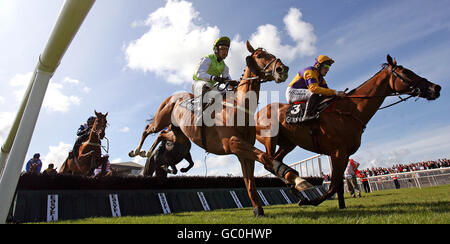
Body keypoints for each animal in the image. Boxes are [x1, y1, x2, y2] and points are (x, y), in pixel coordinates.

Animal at [129, 41, 312, 216]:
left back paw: (150, 154)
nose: (283, 69)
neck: (240, 107)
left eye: (272, 54)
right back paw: (138, 151)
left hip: (179, 135)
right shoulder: (232, 143)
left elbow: (250, 181)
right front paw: (296, 179)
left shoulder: (242, 151)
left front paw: (258, 210)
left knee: (161, 135)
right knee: (148, 129)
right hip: (161, 120)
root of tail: (174, 97)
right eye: (260, 55)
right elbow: (265, 157)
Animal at [255, 55, 442, 208]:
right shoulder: (339, 152)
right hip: (270, 138)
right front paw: (311, 201)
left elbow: (337, 184)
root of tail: (256, 113)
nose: (436, 88)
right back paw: (297, 182)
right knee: (268, 160)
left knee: (275, 160)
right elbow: (332, 186)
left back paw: (293, 182)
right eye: (407, 73)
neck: (351, 110)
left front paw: (339, 205)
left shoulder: (341, 154)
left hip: (289, 143)